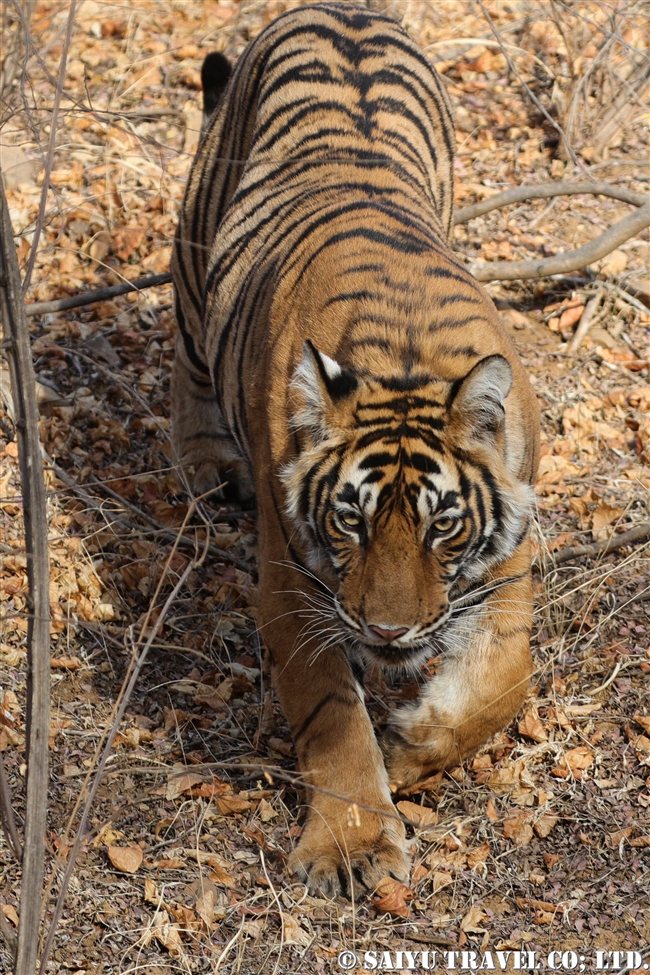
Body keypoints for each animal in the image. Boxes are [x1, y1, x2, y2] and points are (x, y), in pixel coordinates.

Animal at [170, 1, 540, 900]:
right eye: (350, 522)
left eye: (444, 525)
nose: (388, 631)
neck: (404, 357)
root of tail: (342, 9)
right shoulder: (293, 584)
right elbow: (333, 717)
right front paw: (352, 845)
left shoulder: (507, 566)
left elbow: (504, 681)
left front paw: (410, 746)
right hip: (196, 252)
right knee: (187, 358)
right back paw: (206, 466)